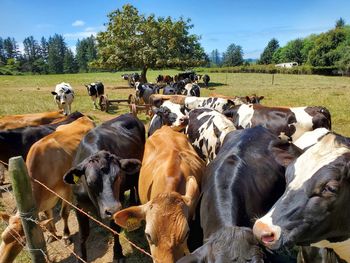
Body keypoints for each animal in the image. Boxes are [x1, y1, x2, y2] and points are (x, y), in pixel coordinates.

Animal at [0, 117, 95, 263]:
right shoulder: (47, 198)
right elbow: (48, 215)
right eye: (3, 236)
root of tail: (83, 118)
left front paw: (66, 236)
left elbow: (64, 213)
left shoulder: (66, 191)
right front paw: (52, 234)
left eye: (23, 242)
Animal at [63, 113, 145, 262]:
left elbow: (114, 229)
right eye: (90, 181)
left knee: (134, 186)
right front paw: (82, 257)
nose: (113, 209)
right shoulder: (79, 206)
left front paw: (118, 254)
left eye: (118, 176)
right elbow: (83, 235)